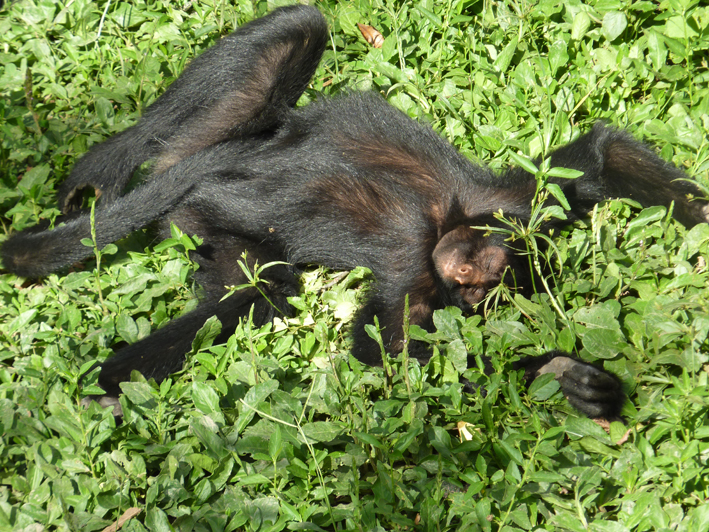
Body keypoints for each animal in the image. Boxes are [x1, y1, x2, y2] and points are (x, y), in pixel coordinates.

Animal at [2, 5, 704, 420]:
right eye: (472, 282)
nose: (471, 291)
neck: (452, 216)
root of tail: (205, 169)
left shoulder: (512, 213)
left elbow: (603, 154)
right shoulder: (422, 250)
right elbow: (387, 355)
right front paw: (561, 374)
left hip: (213, 202)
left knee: (257, 292)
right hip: (204, 162)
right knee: (304, 25)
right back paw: (107, 169)